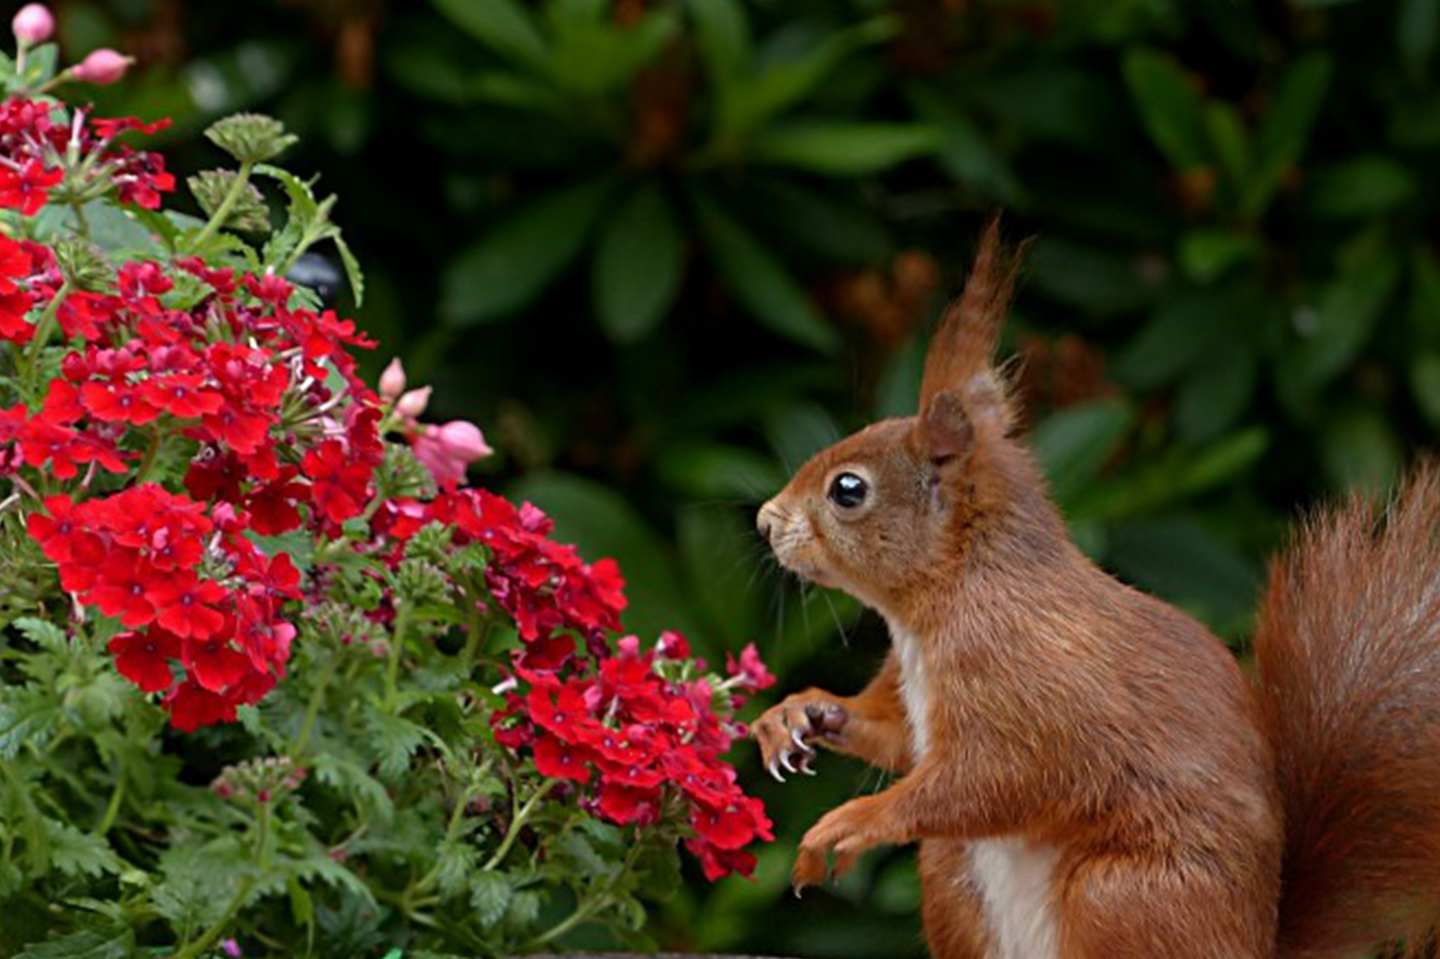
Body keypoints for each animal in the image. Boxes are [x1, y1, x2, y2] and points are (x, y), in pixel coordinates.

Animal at [748, 218, 1440, 956]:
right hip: (953, 873)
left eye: (848, 490)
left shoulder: (1031, 686)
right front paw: (799, 714)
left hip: (1122, 894)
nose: (765, 520)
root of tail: (1254, 945)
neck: (946, 599)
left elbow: (990, 779)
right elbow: (896, 736)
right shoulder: (917, 701)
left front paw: (852, 820)